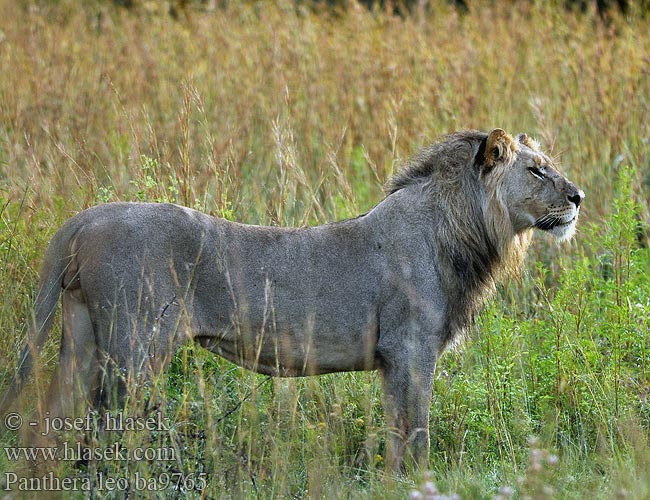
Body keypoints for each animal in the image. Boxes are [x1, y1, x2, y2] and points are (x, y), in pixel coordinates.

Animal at [1, 127, 584, 470]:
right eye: (536, 169)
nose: (578, 196)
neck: (463, 232)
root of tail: (84, 218)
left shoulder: (393, 359)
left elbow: (396, 431)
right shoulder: (411, 348)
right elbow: (416, 430)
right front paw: (421, 480)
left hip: (81, 337)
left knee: (49, 419)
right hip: (135, 347)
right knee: (107, 426)